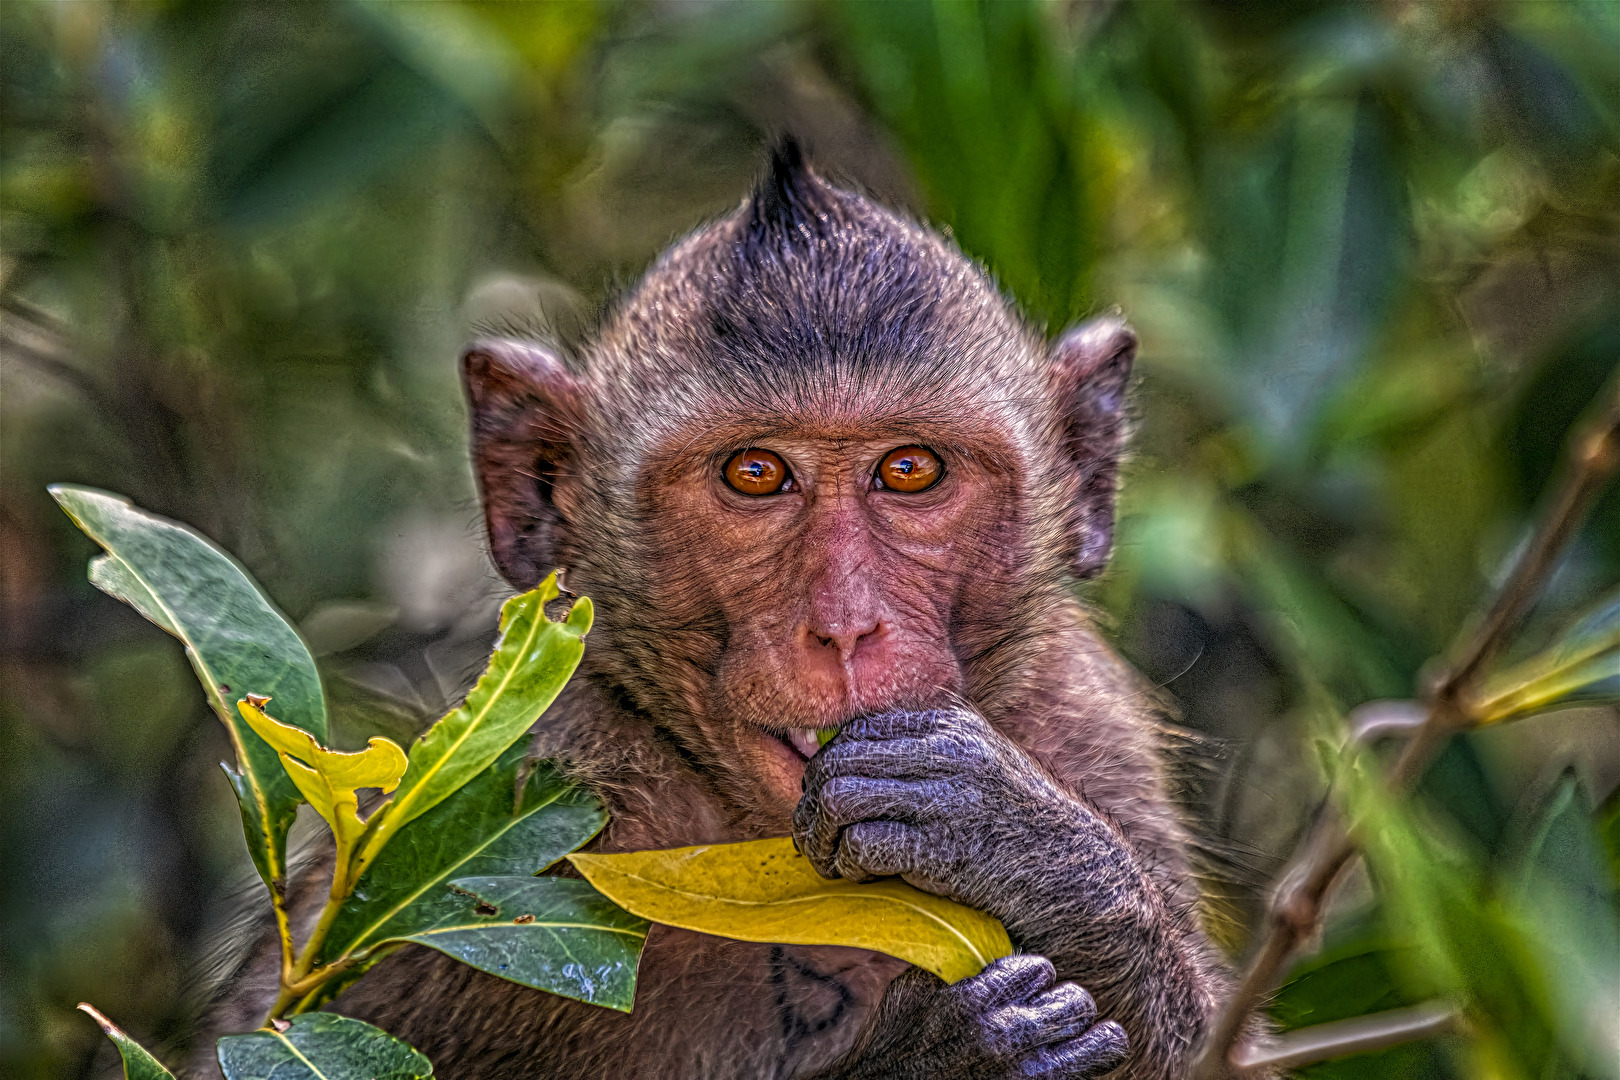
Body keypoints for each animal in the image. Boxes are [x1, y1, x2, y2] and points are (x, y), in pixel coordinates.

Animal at [192, 143, 1224, 1080]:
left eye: (910, 470)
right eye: (755, 473)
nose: (844, 624)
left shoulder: (1086, 721)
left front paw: (1024, 848)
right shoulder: (496, 838)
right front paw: (947, 1057)